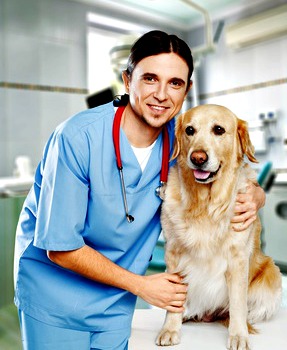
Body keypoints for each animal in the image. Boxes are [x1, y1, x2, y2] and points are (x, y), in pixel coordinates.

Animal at [156, 104, 282, 350]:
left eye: (219, 130)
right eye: (190, 130)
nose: (198, 158)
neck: (205, 204)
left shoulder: (238, 258)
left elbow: (238, 304)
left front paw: (239, 335)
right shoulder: (173, 254)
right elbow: (174, 300)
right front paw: (170, 329)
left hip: (271, 274)